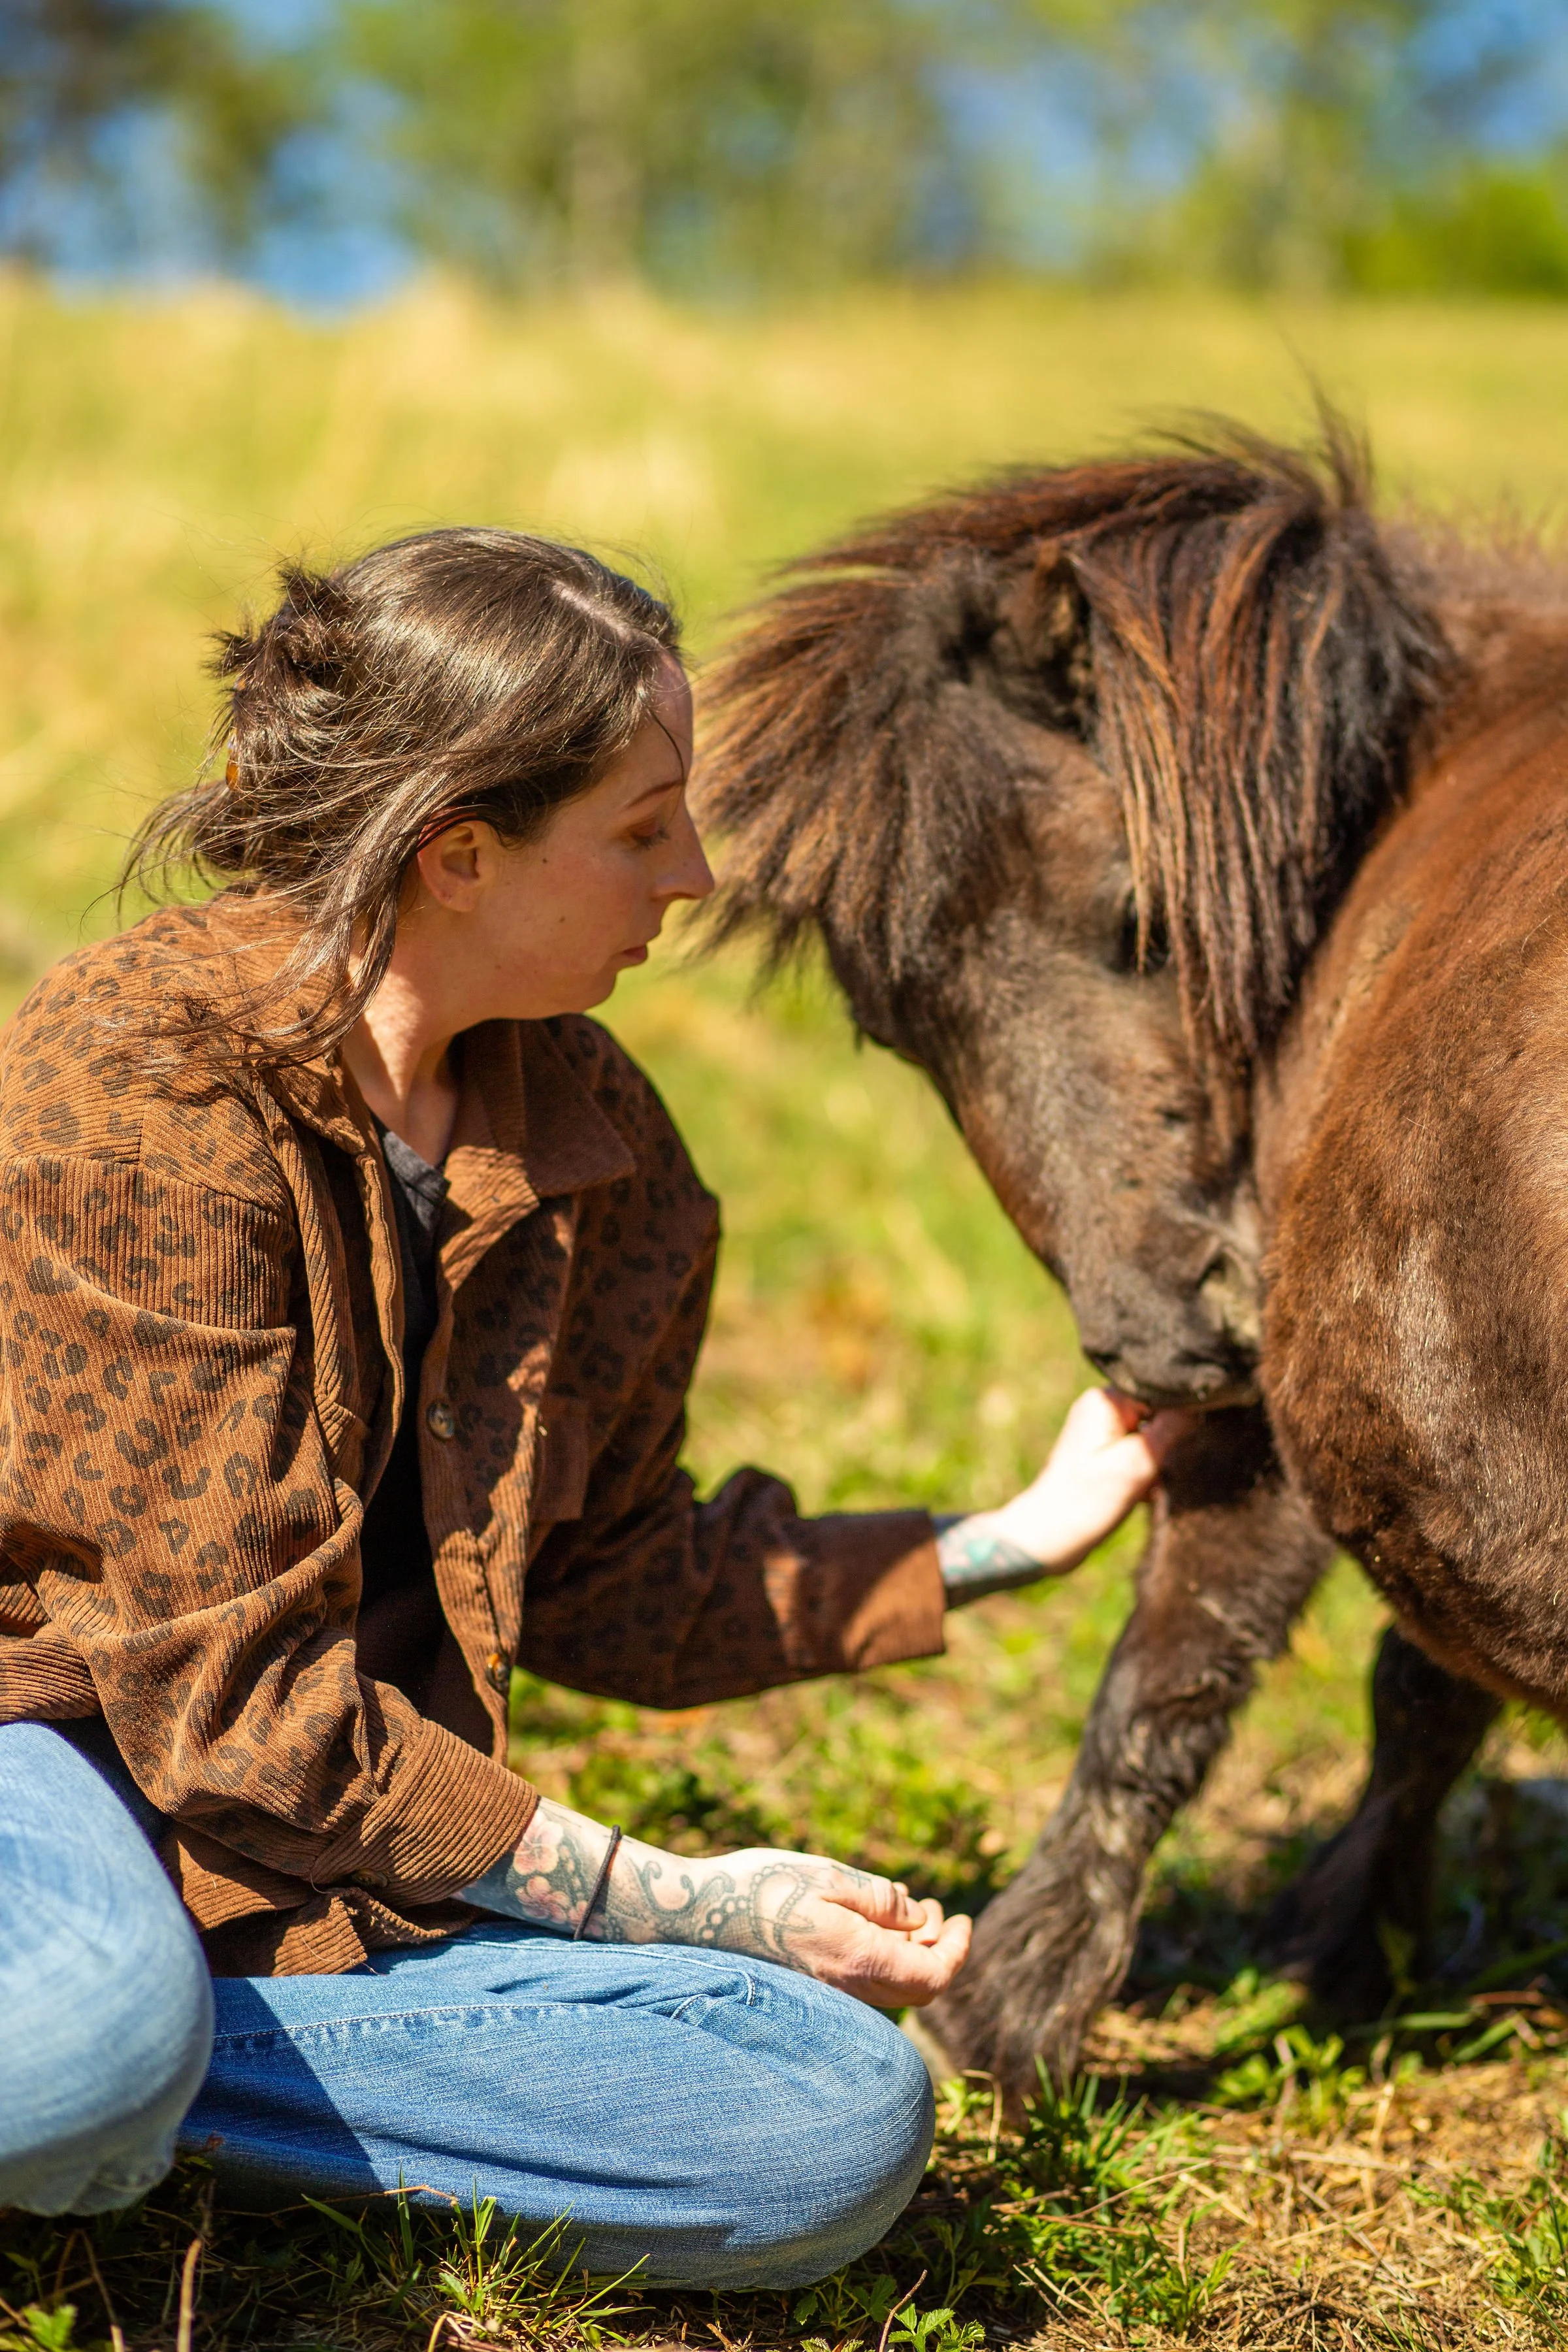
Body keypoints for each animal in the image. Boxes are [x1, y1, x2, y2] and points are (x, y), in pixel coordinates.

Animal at [693, 415, 1568, 2095]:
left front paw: (999, 2011)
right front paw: (1349, 1941)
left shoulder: (1293, 1432)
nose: (1167, 1343)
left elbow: (1167, 1688)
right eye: (893, 1023)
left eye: (1141, 918)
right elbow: (1415, 1696)